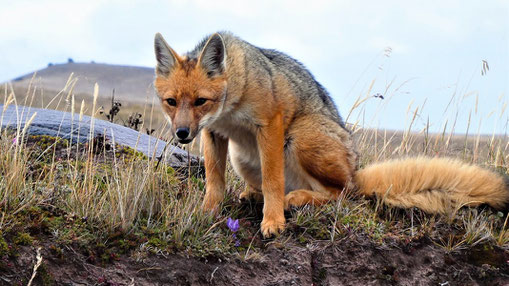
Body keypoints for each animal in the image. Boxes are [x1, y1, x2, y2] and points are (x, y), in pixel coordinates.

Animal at [153, 31, 508, 238]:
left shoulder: (270, 124)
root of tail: (356, 171)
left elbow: (273, 181)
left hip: (299, 139)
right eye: (171, 102)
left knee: (340, 194)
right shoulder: (214, 133)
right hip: (243, 157)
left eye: (201, 101)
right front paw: (207, 214)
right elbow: (214, 182)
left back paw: (296, 198)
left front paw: (273, 222)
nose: (182, 133)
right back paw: (255, 194)